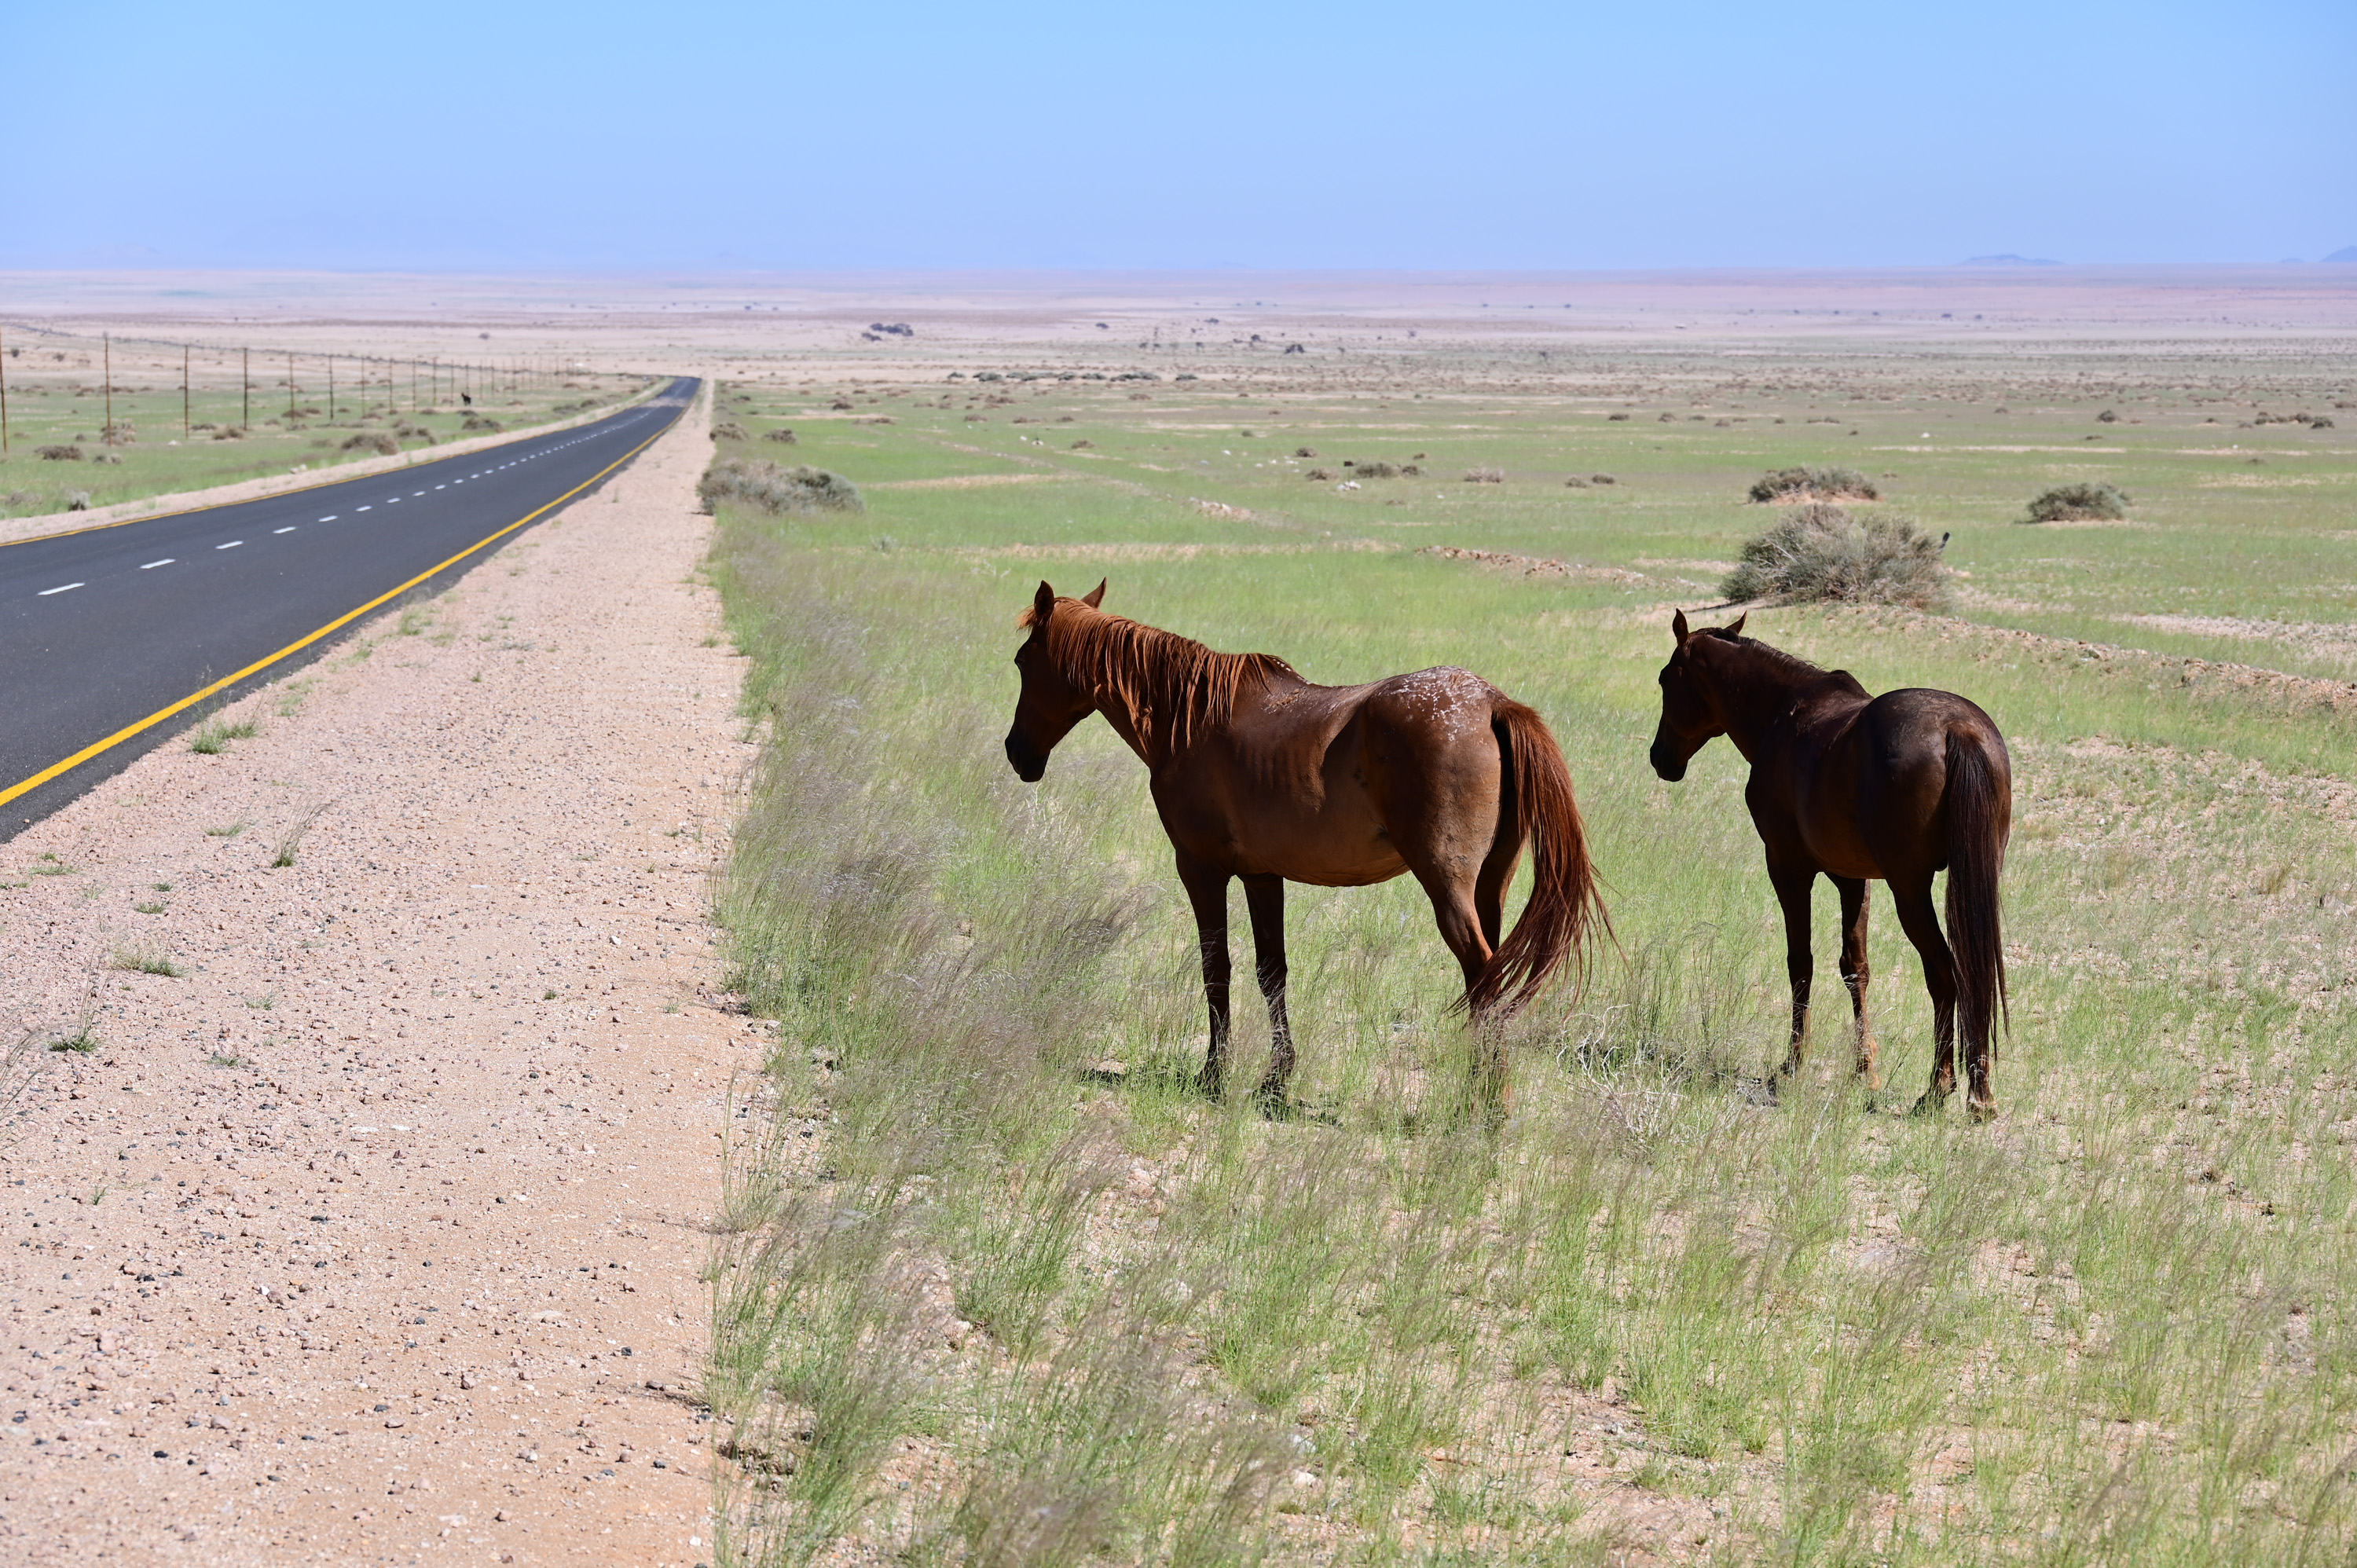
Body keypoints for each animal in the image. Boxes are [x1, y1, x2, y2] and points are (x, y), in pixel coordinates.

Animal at [1003, 579, 1608, 1108]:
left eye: (1022, 662)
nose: (1016, 753)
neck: (1189, 719)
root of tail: (1491, 704)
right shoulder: (1261, 875)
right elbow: (1271, 972)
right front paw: (1275, 1081)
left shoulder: (1201, 869)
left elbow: (1216, 968)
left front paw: (1212, 1076)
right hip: (1490, 888)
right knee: (1494, 976)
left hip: (1448, 887)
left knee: (1482, 976)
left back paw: (1485, 1108)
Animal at [1647, 611, 2011, 1119]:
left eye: (1666, 679)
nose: (1660, 758)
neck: (1783, 715)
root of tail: (1959, 729)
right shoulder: (1853, 879)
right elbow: (1855, 967)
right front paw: (1865, 1070)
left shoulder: (1788, 869)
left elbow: (1801, 964)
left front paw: (1792, 1065)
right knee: (1975, 974)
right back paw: (1980, 1092)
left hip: (1910, 890)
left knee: (1945, 973)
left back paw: (1940, 1089)